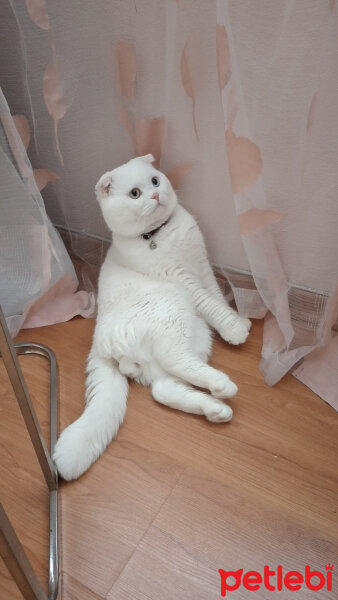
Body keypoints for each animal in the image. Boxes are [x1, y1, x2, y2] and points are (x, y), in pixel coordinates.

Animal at [53, 154, 251, 478]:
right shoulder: (185, 281)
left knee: (163, 389)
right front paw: (235, 329)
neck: (159, 235)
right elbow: (211, 304)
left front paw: (234, 318)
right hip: (173, 310)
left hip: (193, 336)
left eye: (155, 181)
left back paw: (215, 408)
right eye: (135, 193)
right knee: (174, 363)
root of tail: (99, 345)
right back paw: (222, 387)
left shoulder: (202, 266)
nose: (155, 195)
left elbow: (217, 297)